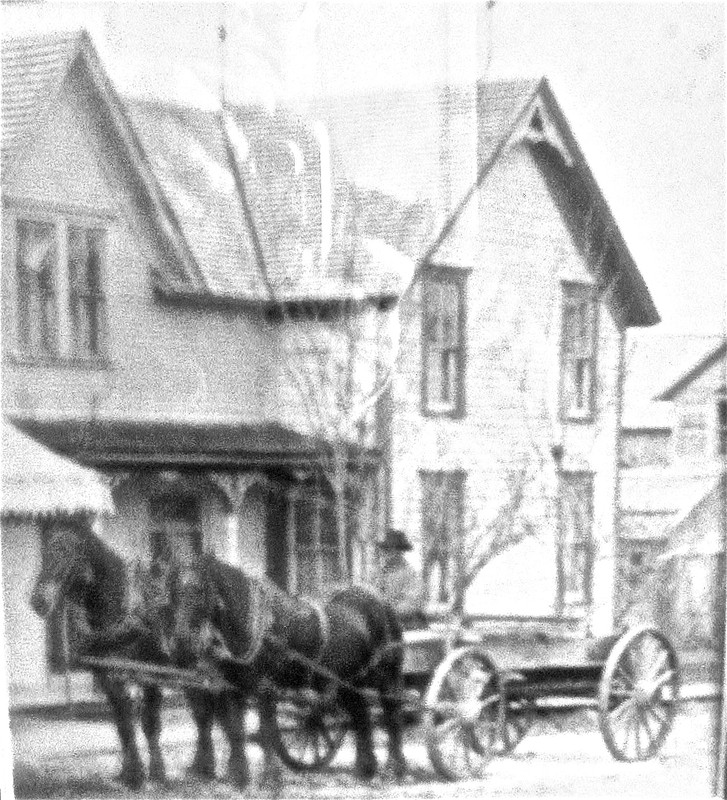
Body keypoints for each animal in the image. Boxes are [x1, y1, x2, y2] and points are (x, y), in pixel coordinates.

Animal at [29, 520, 250, 792]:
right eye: (44, 553)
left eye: (69, 551)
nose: (39, 600)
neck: (123, 610)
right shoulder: (110, 677)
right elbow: (124, 725)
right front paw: (129, 773)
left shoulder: (147, 676)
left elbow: (149, 724)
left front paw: (151, 773)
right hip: (194, 673)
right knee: (204, 714)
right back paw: (204, 766)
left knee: (228, 713)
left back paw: (237, 770)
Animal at [171, 552, 410, 792]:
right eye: (177, 591)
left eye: (199, 589)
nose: (181, 639)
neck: (257, 625)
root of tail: (381, 602)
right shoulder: (233, 688)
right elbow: (235, 730)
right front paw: (239, 777)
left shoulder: (265, 689)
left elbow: (266, 731)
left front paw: (271, 777)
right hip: (347, 682)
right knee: (361, 715)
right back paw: (365, 769)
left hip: (387, 678)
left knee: (392, 716)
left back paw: (396, 768)